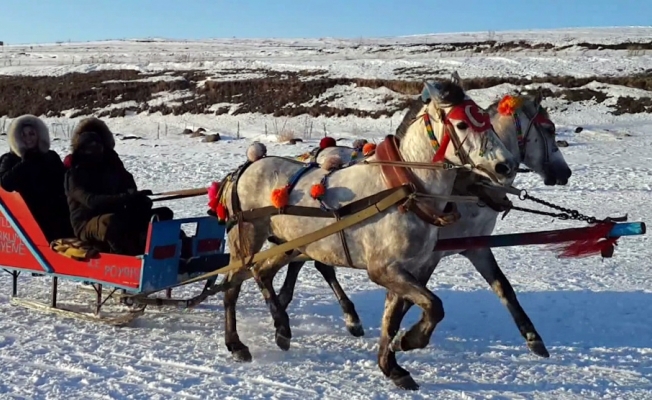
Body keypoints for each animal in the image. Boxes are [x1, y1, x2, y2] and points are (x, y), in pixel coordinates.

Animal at [219, 76, 520, 390]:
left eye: (485, 119)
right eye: (461, 124)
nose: (506, 165)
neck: (405, 188)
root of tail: (243, 170)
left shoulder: (406, 270)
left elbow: (393, 320)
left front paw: (392, 366)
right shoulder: (383, 269)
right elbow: (435, 305)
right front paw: (410, 341)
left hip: (291, 245)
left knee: (262, 273)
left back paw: (282, 328)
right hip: (247, 241)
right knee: (232, 287)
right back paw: (238, 343)